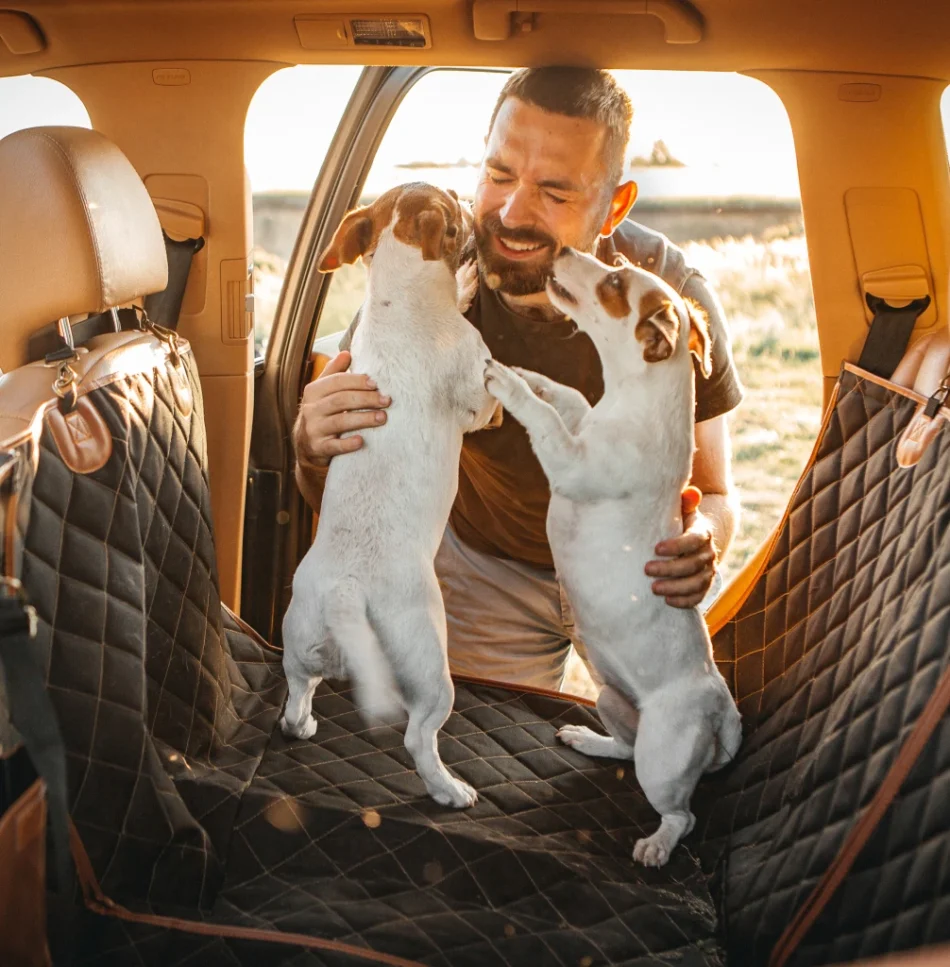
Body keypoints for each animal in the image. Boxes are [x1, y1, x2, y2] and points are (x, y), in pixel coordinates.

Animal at [282, 183, 502, 808]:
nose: (466, 193)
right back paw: (449, 789)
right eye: (453, 205)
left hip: (298, 639)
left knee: (296, 695)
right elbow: (487, 394)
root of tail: (348, 591)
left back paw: (301, 723)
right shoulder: (477, 386)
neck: (398, 298)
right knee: (418, 737)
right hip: (430, 668)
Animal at [484, 246, 744, 864]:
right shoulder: (582, 418)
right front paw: (524, 372)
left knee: (681, 813)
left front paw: (509, 384)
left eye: (616, 283)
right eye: (618, 264)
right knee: (623, 750)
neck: (634, 401)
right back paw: (589, 739)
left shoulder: (572, 463)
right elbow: (564, 396)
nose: (564, 251)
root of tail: (723, 713)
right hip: (610, 699)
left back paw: (657, 845)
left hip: (663, 758)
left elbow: (545, 418)